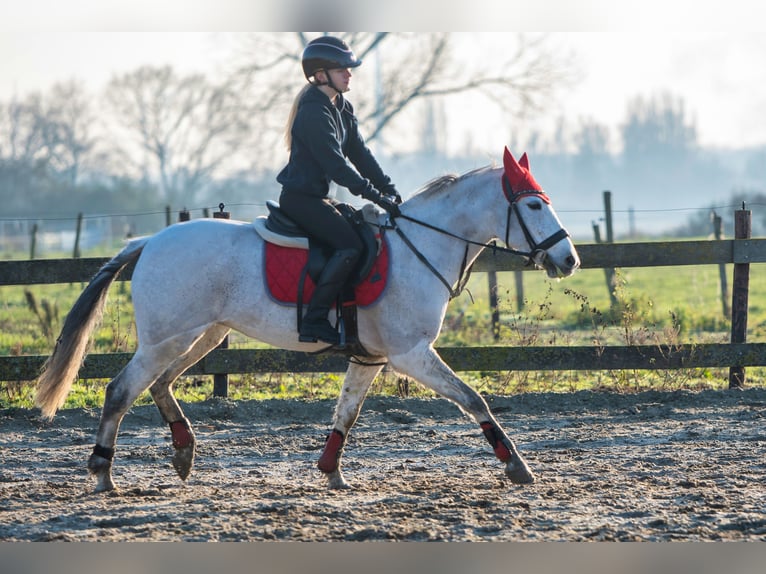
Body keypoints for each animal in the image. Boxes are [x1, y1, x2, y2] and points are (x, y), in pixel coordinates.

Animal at [33, 150, 580, 496]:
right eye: (533, 204)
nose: (569, 259)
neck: (419, 246)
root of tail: (149, 240)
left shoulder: (371, 357)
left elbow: (347, 413)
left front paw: (331, 472)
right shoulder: (411, 354)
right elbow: (473, 399)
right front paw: (516, 465)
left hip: (203, 335)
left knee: (160, 384)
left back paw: (184, 453)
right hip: (170, 337)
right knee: (122, 390)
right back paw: (103, 474)